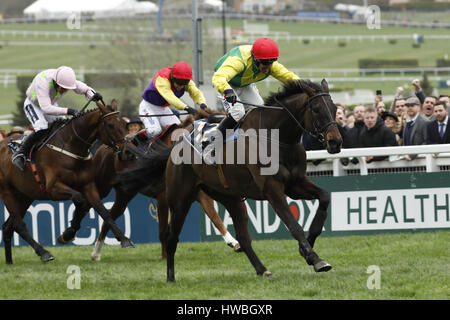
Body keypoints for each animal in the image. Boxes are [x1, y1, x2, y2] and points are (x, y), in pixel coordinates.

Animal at [0, 101, 133, 264]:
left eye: (125, 124)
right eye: (110, 125)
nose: (128, 152)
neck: (70, 147)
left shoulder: (88, 185)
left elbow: (103, 211)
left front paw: (124, 239)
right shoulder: (53, 188)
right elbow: (79, 200)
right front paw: (69, 232)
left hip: (24, 195)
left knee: (8, 226)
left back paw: (9, 262)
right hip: (6, 192)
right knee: (19, 224)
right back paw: (44, 252)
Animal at [58, 107, 241, 260]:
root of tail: (104, 147)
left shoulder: (196, 191)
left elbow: (214, 215)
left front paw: (233, 242)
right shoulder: (163, 196)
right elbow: (163, 230)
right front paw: (166, 257)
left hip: (125, 193)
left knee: (109, 216)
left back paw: (98, 251)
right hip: (102, 185)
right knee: (89, 204)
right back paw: (69, 235)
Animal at [119, 79, 342, 282]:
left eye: (334, 108)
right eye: (316, 109)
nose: (335, 142)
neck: (275, 138)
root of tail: (176, 146)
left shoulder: (295, 184)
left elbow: (324, 198)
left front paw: (307, 248)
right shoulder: (273, 189)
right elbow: (294, 225)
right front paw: (315, 258)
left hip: (231, 198)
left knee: (243, 237)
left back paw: (262, 270)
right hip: (180, 199)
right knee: (171, 236)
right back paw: (170, 277)